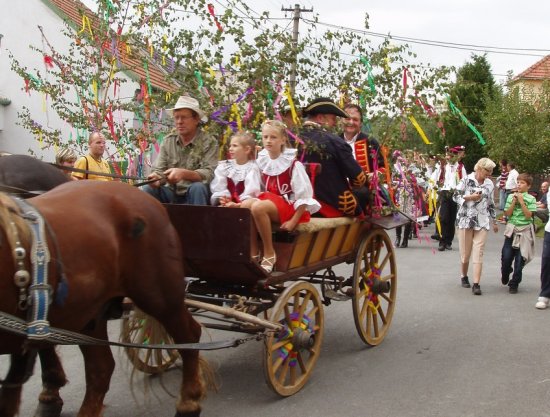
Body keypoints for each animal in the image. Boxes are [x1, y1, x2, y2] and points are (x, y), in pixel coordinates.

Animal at [0, 181, 206, 416]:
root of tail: (151, 202)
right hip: (88, 312)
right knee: (101, 368)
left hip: (160, 296)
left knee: (189, 336)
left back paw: (188, 403)